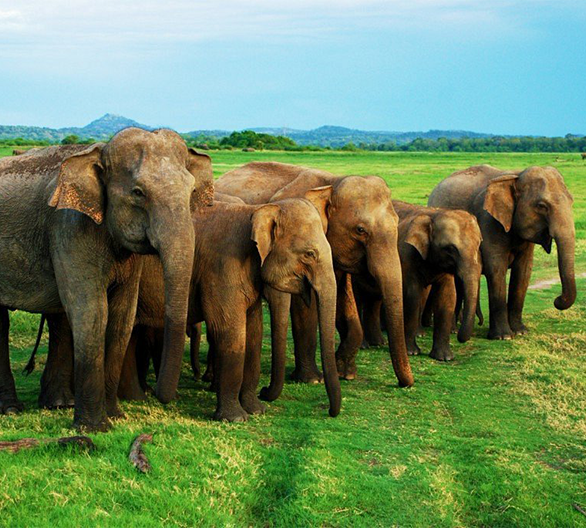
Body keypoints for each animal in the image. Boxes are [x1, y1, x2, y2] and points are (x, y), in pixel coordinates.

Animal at [0, 129, 213, 434]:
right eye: (138, 193)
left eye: (192, 191)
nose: (160, 396)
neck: (98, 152)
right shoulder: (68, 227)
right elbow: (92, 312)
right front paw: (94, 428)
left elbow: (122, 318)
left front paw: (116, 417)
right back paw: (12, 409)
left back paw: (56, 404)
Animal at [216, 161, 416, 400]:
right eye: (360, 230)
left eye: (397, 223)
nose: (406, 384)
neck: (333, 182)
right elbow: (306, 306)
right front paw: (312, 380)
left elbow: (343, 296)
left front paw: (344, 373)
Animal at [354, 202, 482, 364]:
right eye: (450, 249)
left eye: (478, 245)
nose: (459, 337)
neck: (434, 215)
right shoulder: (406, 255)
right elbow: (412, 296)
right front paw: (412, 352)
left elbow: (446, 297)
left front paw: (444, 357)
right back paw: (364, 345)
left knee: (374, 301)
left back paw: (378, 343)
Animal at [426, 163, 572, 340]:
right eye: (541, 206)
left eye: (571, 201)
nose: (557, 300)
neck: (516, 176)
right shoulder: (489, 221)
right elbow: (496, 268)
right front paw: (504, 336)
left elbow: (523, 271)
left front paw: (521, 331)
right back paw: (453, 329)